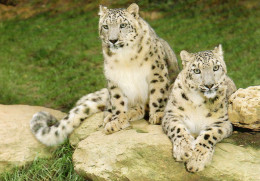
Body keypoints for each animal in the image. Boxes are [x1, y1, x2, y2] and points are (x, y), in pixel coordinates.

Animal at [30, 3, 179, 146]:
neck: (126, 58)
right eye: (105, 26)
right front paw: (117, 121)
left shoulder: (157, 71)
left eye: (122, 25)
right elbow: (118, 101)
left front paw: (158, 115)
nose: (113, 40)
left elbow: (158, 94)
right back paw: (114, 116)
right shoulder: (114, 78)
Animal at [162, 44, 238, 172]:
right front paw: (184, 151)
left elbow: (209, 135)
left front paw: (197, 160)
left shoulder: (222, 122)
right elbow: (178, 129)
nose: (209, 85)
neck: (198, 102)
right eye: (196, 70)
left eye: (216, 67)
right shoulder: (172, 114)